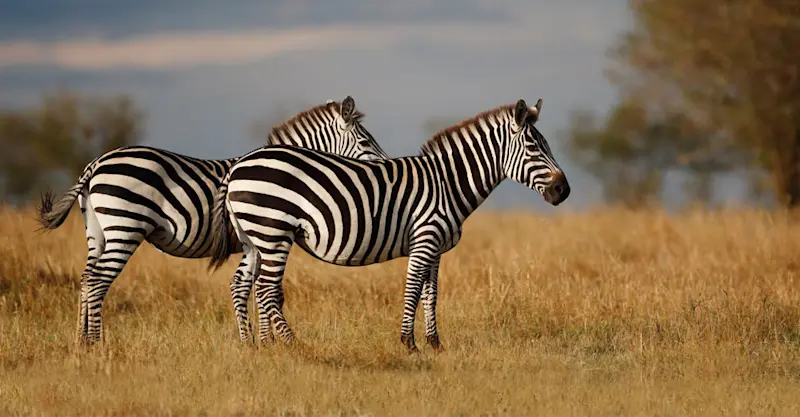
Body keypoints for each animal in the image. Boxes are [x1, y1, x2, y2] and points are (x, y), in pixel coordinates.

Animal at [36, 96, 390, 345]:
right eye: (365, 142)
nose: (387, 166)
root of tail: (96, 162)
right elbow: (259, 289)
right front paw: (265, 342)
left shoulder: (253, 242)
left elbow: (248, 288)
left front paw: (257, 342)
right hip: (125, 226)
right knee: (98, 281)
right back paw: (97, 344)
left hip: (98, 231)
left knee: (86, 279)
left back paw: (81, 342)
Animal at [207, 98, 570, 351]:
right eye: (534, 147)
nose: (563, 190)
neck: (446, 183)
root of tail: (239, 165)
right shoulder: (424, 239)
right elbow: (412, 290)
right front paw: (408, 343)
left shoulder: (436, 249)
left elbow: (431, 294)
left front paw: (435, 344)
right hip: (273, 232)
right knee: (267, 289)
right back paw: (296, 346)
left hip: (255, 238)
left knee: (246, 285)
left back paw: (260, 345)